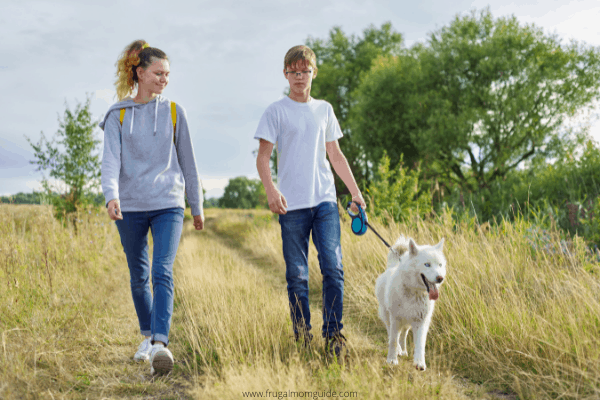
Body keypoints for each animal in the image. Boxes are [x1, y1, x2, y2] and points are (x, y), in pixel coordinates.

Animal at [376, 236, 446, 370]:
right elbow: (393, 341)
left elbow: (420, 344)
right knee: (392, 334)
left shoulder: (421, 322)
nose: (440, 278)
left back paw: (403, 351)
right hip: (387, 317)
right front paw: (392, 359)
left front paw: (419, 363)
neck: (414, 292)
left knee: (403, 335)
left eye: (440, 265)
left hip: (407, 323)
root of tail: (392, 266)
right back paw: (399, 350)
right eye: (427, 264)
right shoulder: (395, 318)